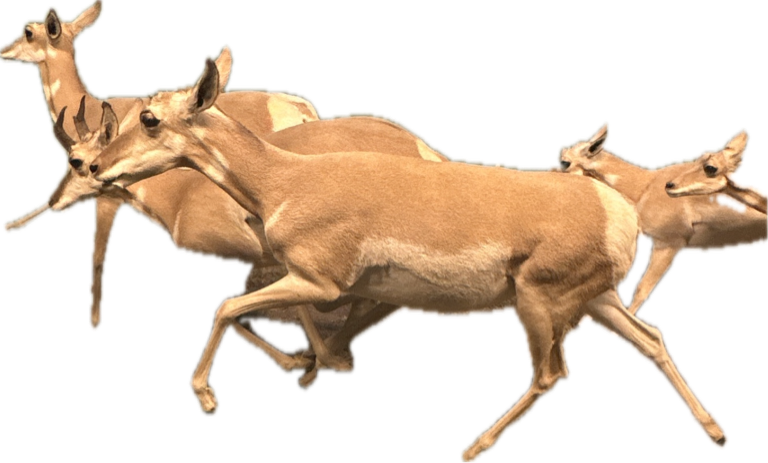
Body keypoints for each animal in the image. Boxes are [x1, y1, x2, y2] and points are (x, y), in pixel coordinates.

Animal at [86, 51, 727, 462]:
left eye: (150, 117)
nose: (91, 166)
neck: (286, 179)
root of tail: (616, 211)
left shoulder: (319, 282)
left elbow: (224, 307)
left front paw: (207, 397)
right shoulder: (325, 286)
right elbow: (263, 317)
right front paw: (318, 367)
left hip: (540, 306)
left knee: (553, 373)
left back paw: (473, 447)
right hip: (599, 301)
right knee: (651, 340)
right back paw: (715, 432)